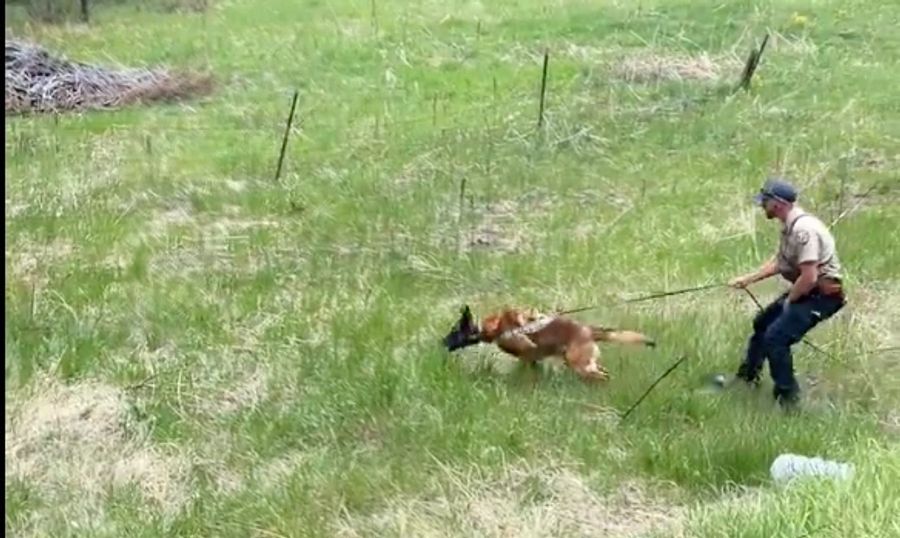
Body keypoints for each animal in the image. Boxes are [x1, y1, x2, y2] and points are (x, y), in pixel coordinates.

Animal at [442, 306, 652, 382]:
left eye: (453, 331)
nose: (441, 342)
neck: (495, 327)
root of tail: (587, 330)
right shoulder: (531, 358)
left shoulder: (527, 351)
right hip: (582, 362)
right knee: (603, 374)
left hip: (579, 364)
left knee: (603, 377)